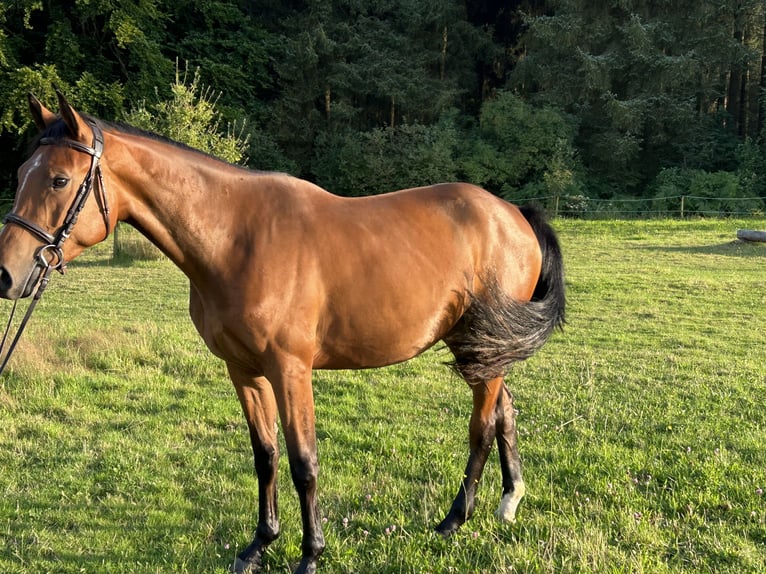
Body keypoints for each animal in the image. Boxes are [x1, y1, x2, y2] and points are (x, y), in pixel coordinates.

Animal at [0, 94, 564, 574]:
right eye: (23, 173)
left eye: (58, 180)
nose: (6, 274)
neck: (236, 239)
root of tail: (512, 213)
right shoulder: (244, 371)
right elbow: (265, 455)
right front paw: (259, 544)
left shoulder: (291, 370)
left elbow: (303, 462)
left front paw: (310, 554)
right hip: (481, 348)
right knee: (505, 411)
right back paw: (507, 502)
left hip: (478, 351)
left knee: (482, 426)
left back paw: (453, 520)